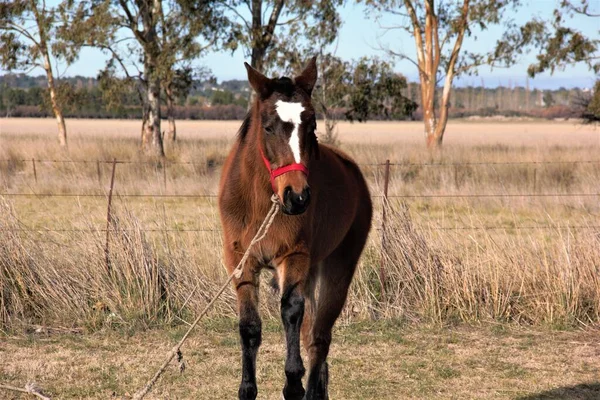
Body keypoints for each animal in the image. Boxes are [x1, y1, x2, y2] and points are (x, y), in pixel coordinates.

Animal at [218, 57, 372, 400]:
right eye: (268, 126)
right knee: (309, 329)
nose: (298, 196)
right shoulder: (241, 261)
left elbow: (290, 312)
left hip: (337, 270)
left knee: (318, 338)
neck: (261, 203)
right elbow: (249, 326)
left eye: (311, 125)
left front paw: (292, 382)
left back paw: (311, 389)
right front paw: (247, 388)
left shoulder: (293, 258)